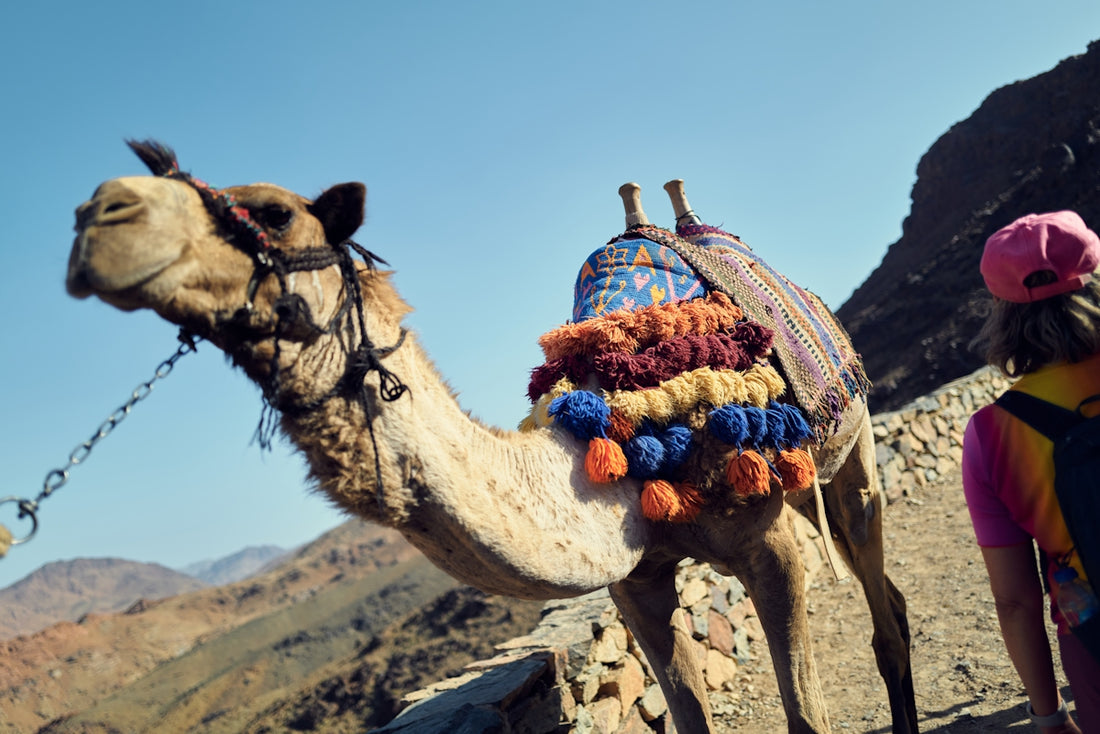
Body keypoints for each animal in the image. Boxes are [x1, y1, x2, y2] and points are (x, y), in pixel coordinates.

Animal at [65, 141, 917, 733]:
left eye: (274, 212)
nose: (98, 214)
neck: (618, 441)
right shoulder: (636, 577)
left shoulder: (768, 547)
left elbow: (806, 714)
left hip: (849, 455)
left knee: (880, 588)